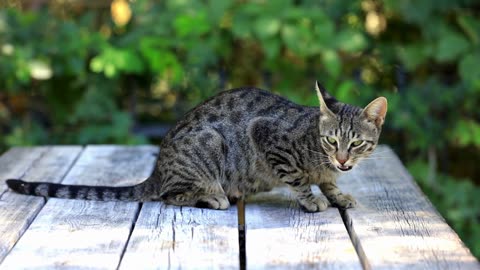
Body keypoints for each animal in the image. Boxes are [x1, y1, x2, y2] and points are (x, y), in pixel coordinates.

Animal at [6, 81, 386, 212]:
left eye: (355, 144)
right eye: (331, 140)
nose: (341, 159)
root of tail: (157, 170)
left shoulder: (331, 169)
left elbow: (329, 182)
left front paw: (337, 194)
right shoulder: (267, 137)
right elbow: (298, 179)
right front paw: (312, 200)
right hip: (208, 146)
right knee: (170, 195)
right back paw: (214, 196)